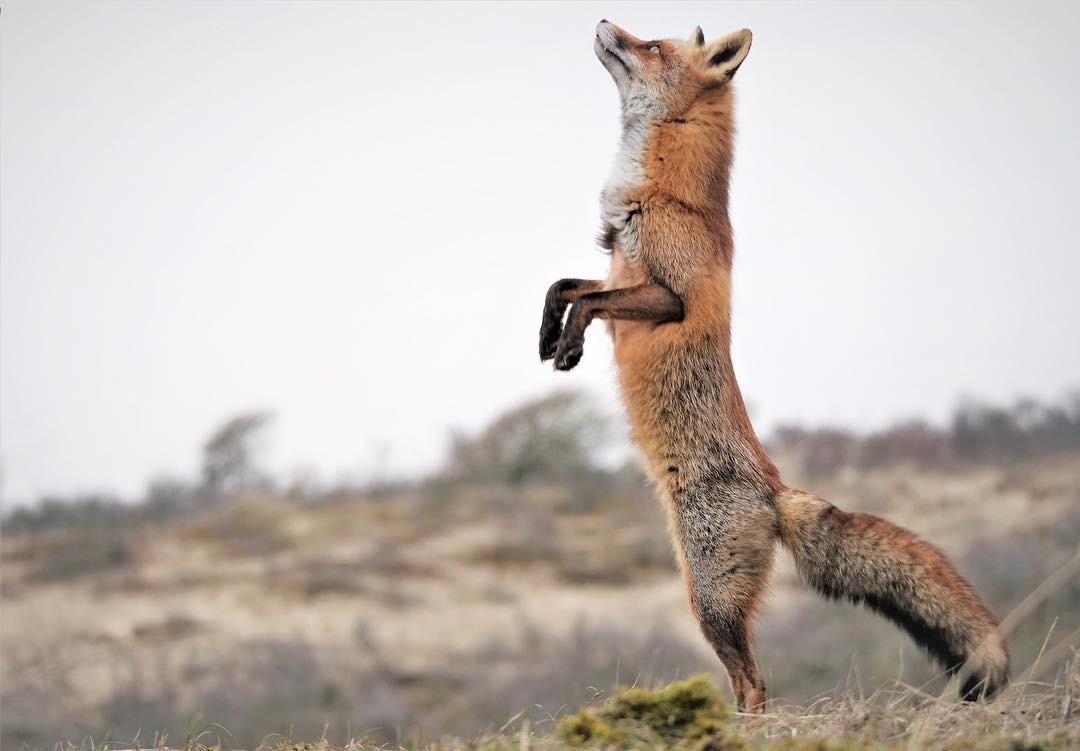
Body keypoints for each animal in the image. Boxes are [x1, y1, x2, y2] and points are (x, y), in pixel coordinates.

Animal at [540, 17, 1010, 708]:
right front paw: (548, 332)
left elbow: (590, 300)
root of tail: (774, 489)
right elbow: (566, 284)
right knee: (749, 682)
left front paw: (570, 342)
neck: (664, 190)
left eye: (651, 46)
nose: (603, 22)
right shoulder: (617, 271)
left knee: (754, 683)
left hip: (709, 598)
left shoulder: (667, 296)